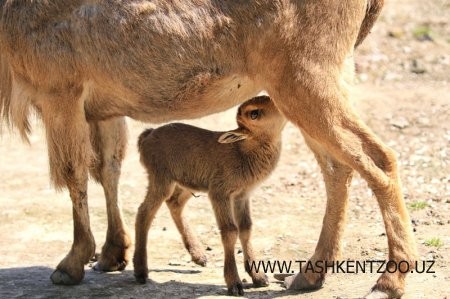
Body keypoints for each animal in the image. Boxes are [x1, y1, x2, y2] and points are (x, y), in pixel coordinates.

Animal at [134, 96, 286, 296]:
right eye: (254, 113)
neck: (242, 151)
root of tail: (147, 136)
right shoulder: (219, 193)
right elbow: (230, 231)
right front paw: (234, 283)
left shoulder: (242, 196)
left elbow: (246, 228)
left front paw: (259, 277)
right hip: (161, 180)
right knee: (144, 212)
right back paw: (140, 271)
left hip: (188, 184)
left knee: (174, 203)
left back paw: (199, 256)